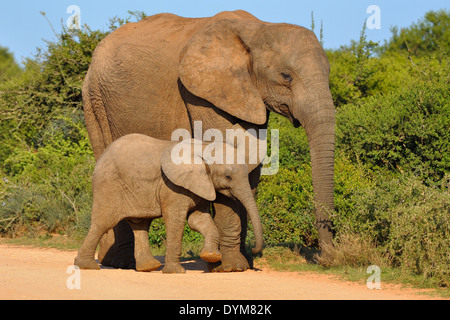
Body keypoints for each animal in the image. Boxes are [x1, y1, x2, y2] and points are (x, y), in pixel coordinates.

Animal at [74, 134, 264, 274]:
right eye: (228, 177)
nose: (255, 251)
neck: (203, 147)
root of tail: (102, 155)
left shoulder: (200, 186)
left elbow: (198, 220)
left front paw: (210, 256)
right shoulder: (173, 187)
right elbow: (176, 221)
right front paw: (176, 272)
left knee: (140, 224)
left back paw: (149, 267)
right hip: (108, 185)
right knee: (103, 223)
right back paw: (87, 266)